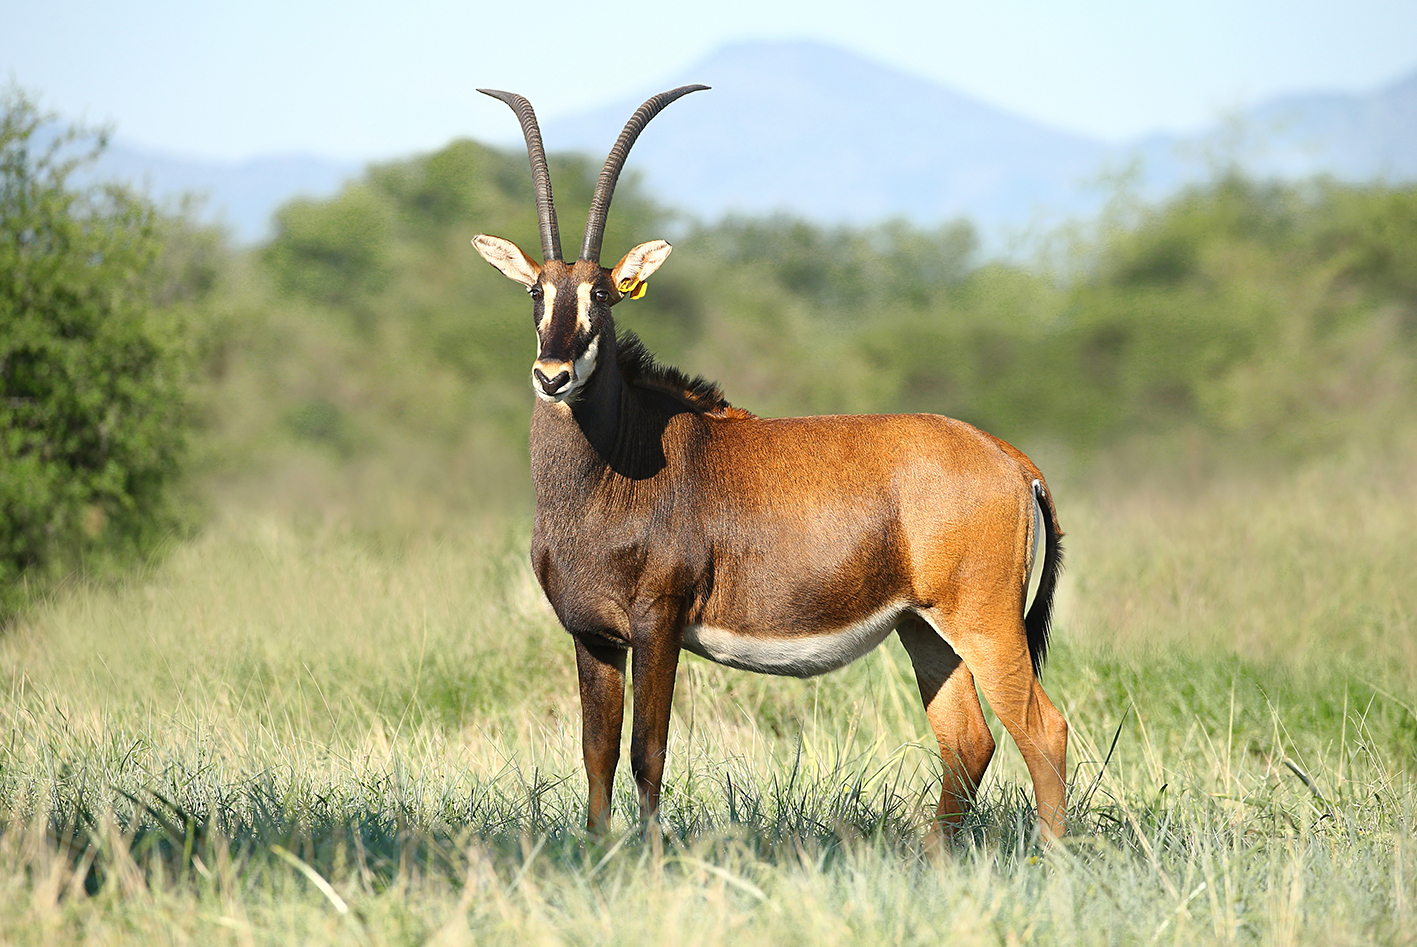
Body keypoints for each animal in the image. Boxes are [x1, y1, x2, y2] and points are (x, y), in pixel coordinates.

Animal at [472, 85, 1070, 844]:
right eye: (535, 293)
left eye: (602, 294)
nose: (552, 376)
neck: (617, 464)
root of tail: (1011, 459)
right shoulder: (593, 635)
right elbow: (596, 751)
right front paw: (598, 851)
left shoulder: (657, 622)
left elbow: (647, 748)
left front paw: (651, 854)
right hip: (923, 627)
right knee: (968, 737)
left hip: (985, 621)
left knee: (1040, 728)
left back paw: (1049, 859)